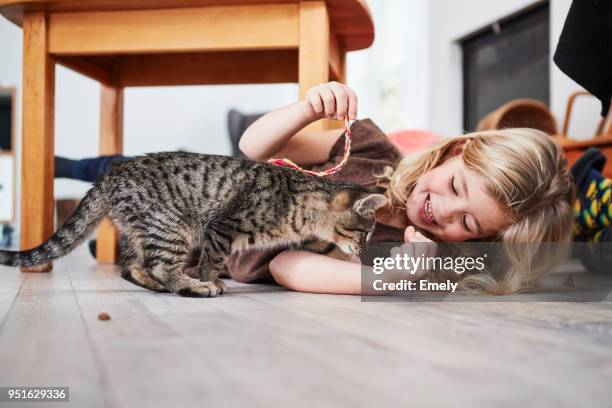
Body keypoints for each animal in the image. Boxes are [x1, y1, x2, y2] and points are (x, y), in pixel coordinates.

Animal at [1, 152, 388, 296]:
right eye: (366, 232)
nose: (367, 248)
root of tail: (109, 176)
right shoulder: (221, 227)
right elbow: (212, 260)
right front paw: (209, 280)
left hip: (142, 231)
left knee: (131, 267)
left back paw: (159, 286)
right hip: (172, 227)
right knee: (159, 265)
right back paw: (192, 286)